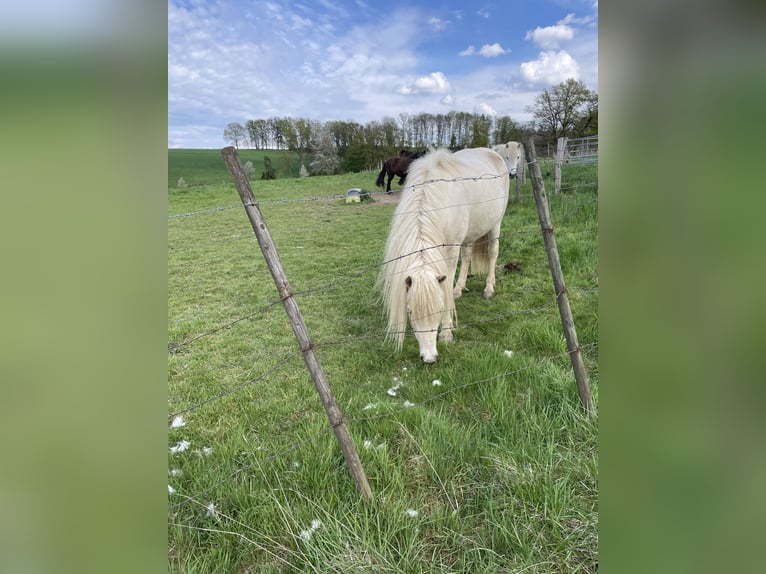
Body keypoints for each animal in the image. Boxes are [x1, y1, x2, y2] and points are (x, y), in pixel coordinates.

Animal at [379, 147, 510, 363]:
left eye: (439, 309)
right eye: (410, 311)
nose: (429, 358)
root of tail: (493, 152)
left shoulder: (450, 250)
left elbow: (445, 286)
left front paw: (447, 332)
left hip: (495, 225)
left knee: (492, 253)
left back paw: (489, 289)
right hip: (471, 233)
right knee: (467, 256)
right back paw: (459, 289)